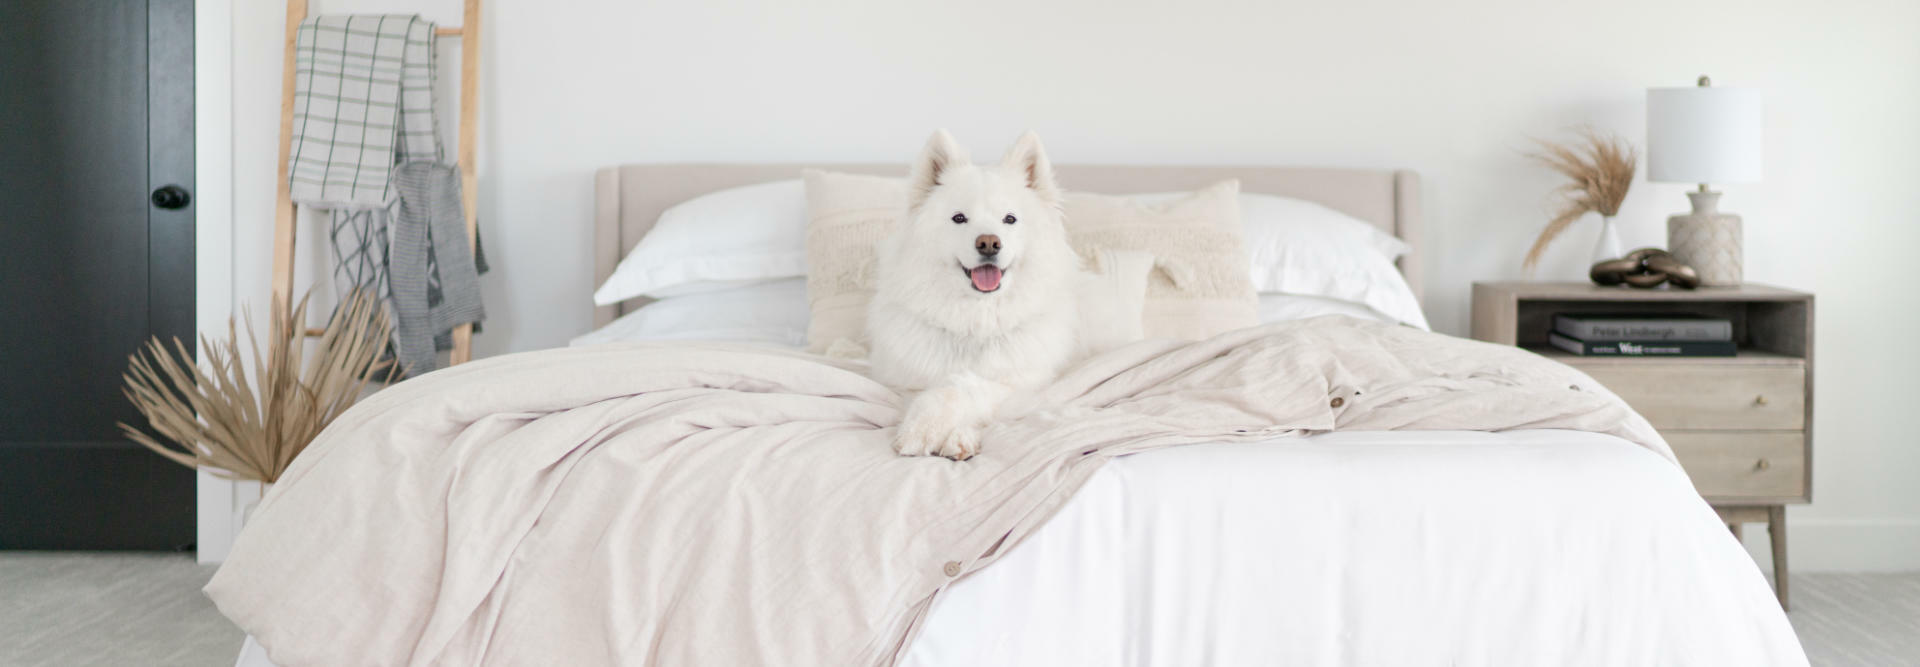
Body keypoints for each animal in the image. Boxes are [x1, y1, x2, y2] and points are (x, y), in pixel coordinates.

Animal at [871, 133, 1136, 463]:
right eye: (959, 218)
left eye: (1009, 219)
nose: (988, 243)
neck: (976, 323)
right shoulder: (903, 381)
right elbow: (936, 390)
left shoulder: (1021, 384)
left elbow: (961, 386)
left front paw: (935, 431)